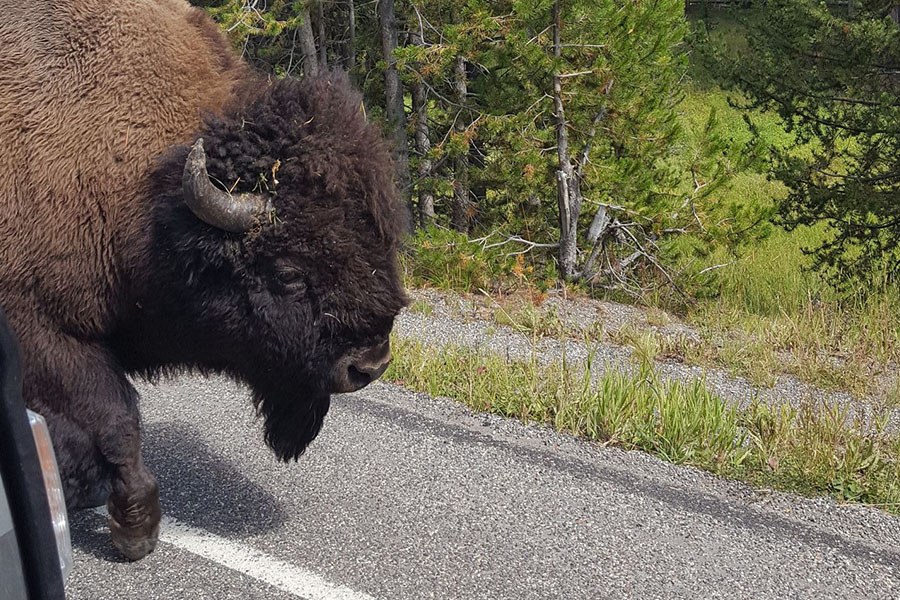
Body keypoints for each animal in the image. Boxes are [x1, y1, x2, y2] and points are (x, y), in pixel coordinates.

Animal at [0, 1, 408, 564]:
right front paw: (135, 529)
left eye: (381, 241)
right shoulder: (42, 330)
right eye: (287, 273)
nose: (368, 364)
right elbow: (114, 419)